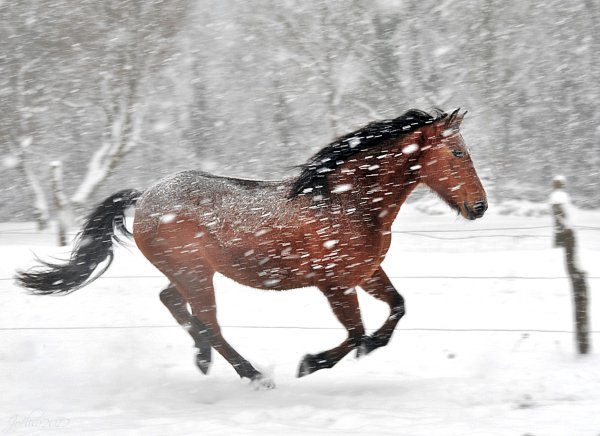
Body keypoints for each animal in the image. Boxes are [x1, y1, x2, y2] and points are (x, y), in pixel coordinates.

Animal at [16, 108, 488, 388]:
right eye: (458, 152)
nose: (480, 206)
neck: (348, 203)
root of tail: (145, 196)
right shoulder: (335, 284)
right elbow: (354, 332)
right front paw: (310, 363)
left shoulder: (366, 273)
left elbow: (397, 307)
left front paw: (371, 345)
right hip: (196, 274)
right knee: (208, 323)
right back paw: (254, 374)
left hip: (188, 274)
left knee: (174, 303)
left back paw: (204, 360)